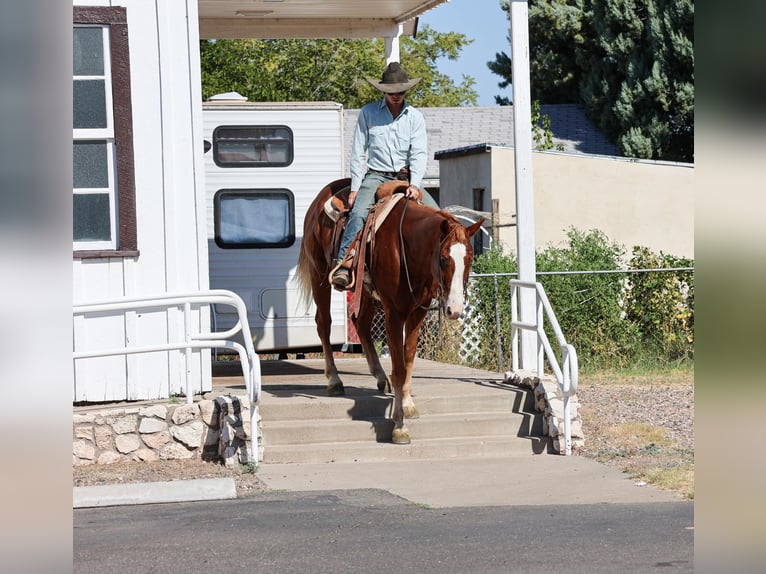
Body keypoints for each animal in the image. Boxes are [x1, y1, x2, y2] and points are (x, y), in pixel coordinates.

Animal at [295, 177, 483, 444]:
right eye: (444, 259)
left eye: (469, 259)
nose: (455, 309)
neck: (407, 246)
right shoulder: (394, 314)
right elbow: (399, 368)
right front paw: (399, 425)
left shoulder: (417, 311)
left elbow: (408, 358)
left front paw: (408, 404)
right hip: (318, 274)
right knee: (324, 323)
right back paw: (334, 380)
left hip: (365, 293)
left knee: (360, 323)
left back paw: (379, 375)